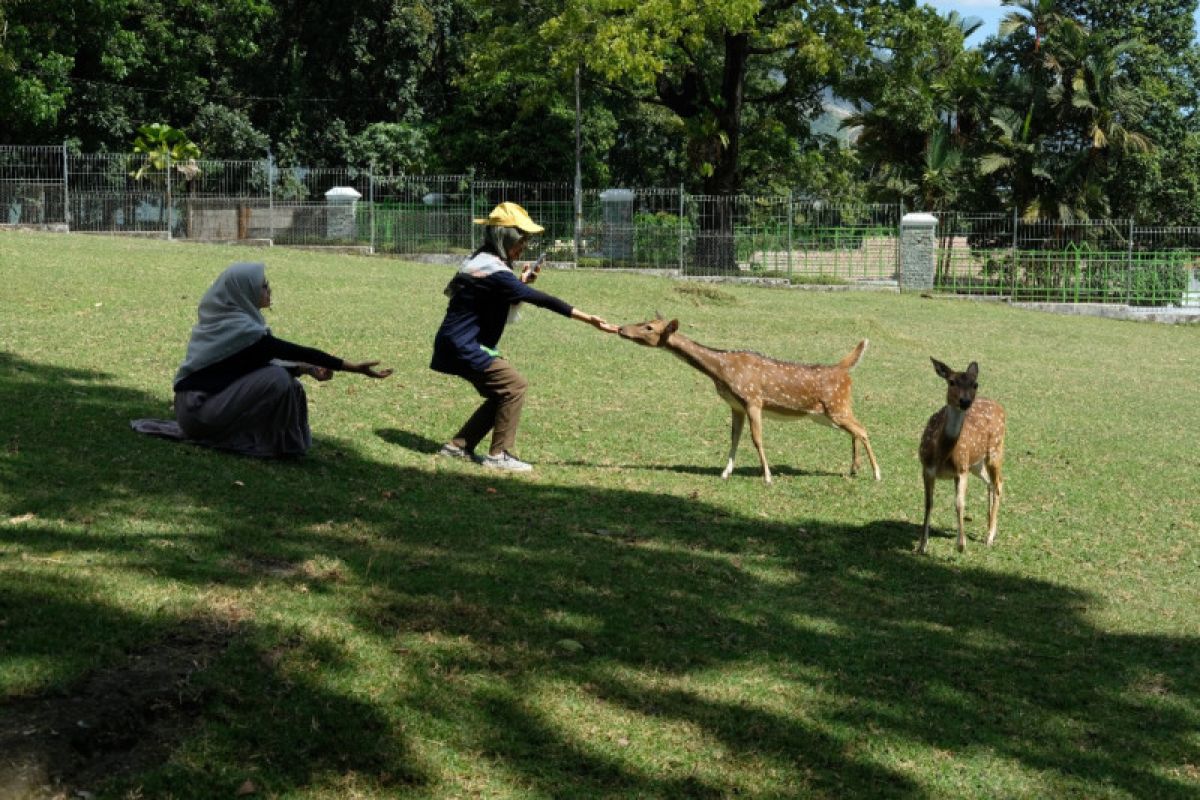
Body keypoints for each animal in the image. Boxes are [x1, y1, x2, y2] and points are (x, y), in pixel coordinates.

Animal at [619, 316, 883, 482]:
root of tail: (843, 370)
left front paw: (767, 477)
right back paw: (854, 469)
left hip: (837, 406)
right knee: (855, 430)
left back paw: (877, 474)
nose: (621, 328)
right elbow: (734, 438)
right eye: (643, 321)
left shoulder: (753, 399)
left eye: (649, 327)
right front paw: (725, 473)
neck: (721, 371)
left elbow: (756, 439)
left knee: (863, 429)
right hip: (826, 414)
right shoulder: (736, 405)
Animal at [916, 357, 1003, 554]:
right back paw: (988, 527)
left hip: (995, 450)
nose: (965, 401)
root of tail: (1000, 406)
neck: (941, 454)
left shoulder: (961, 469)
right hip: (976, 464)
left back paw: (990, 536)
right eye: (951, 382)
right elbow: (928, 503)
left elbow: (959, 503)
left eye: (975, 384)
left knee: (999, 483)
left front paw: (961, 544)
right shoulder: (926, 468)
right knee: (990, 482)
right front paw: (922, 545)